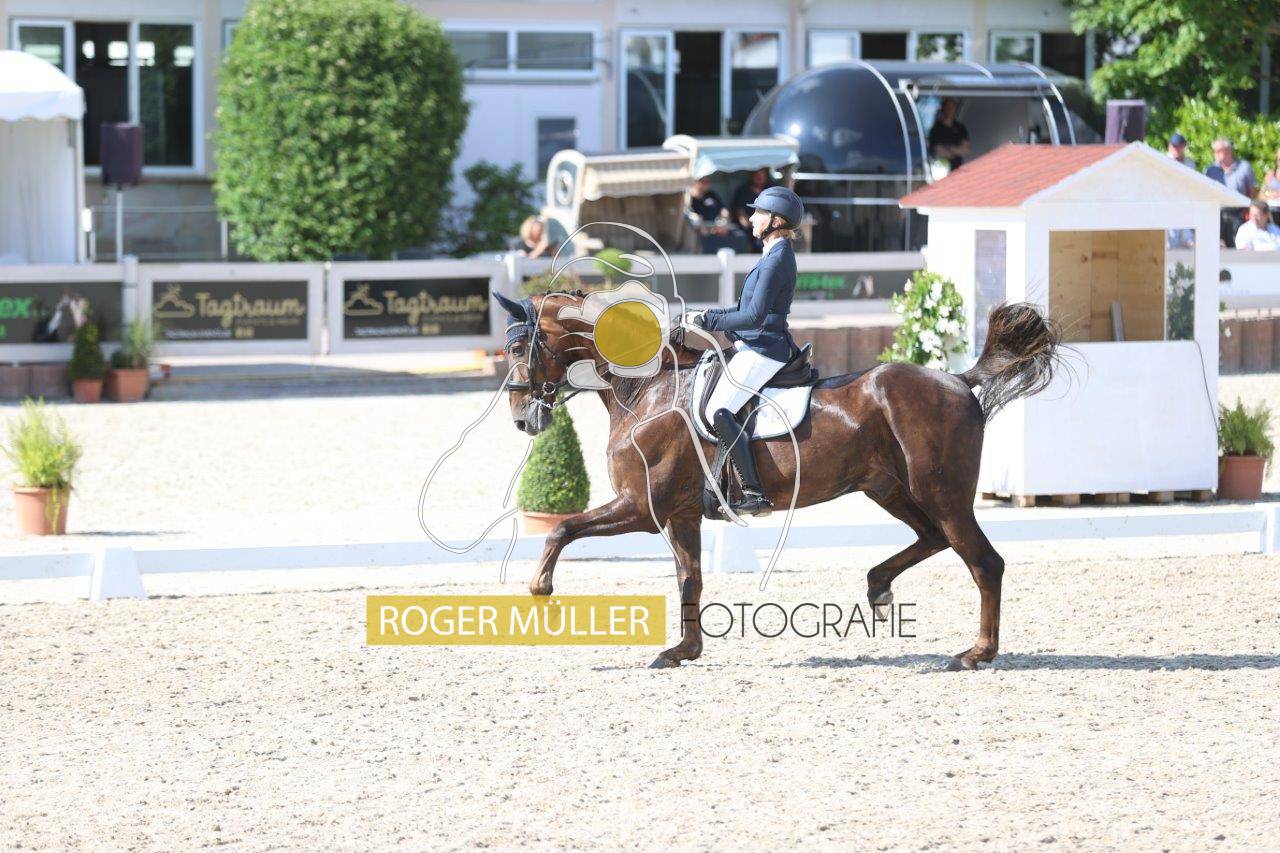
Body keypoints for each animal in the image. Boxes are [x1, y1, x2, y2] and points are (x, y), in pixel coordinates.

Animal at [494, 290, 1061, 670]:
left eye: (521, 350)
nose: (522, 420)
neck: (650, 391)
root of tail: (959, 381)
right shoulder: (679, 513)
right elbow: (688, 578)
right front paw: (684, 651)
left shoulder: (640, 506)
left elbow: (562, 528)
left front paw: (540, 587)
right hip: (889, 488)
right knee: (933, 537)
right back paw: (879, 588)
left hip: (941, 493)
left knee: (983, 561)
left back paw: (976, 653)